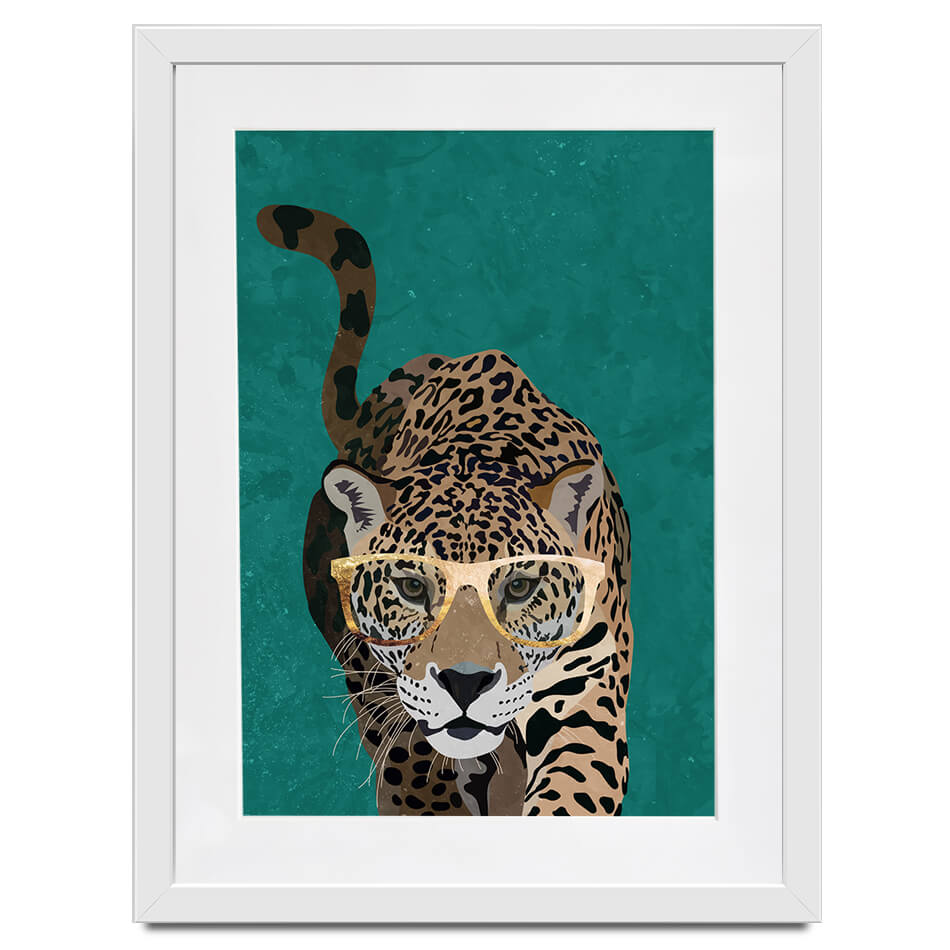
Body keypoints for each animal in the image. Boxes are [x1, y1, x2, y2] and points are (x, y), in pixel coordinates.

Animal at [256, 203, 634, 815]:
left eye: (520, 587)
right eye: (412, 587)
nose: (464, 683)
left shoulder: (586, 695)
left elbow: (570, 793)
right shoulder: (394, 699)